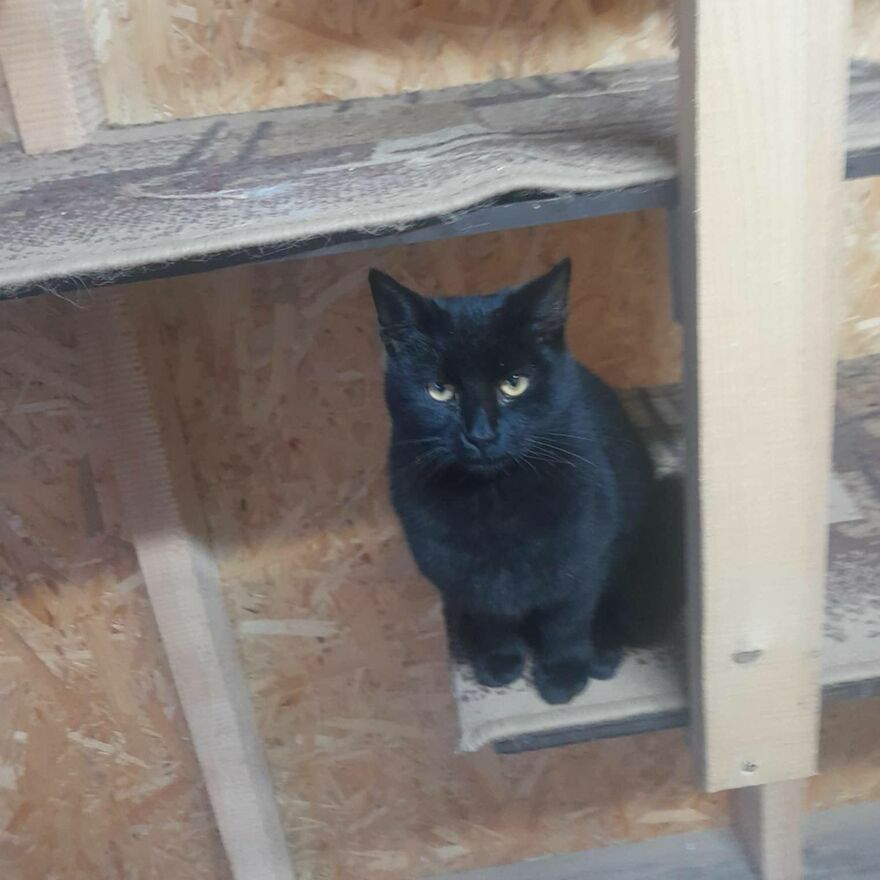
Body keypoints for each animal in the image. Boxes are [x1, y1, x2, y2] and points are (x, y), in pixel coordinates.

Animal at [369, 258, 665, 705]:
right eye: (440, 390)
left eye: (514, 383)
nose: (480, 434)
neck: (493, 500)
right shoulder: (462, 572)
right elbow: (492, 617)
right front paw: (500, 662)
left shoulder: (581, 559)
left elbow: (566, 622)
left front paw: (563, 674)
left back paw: (602, 653)